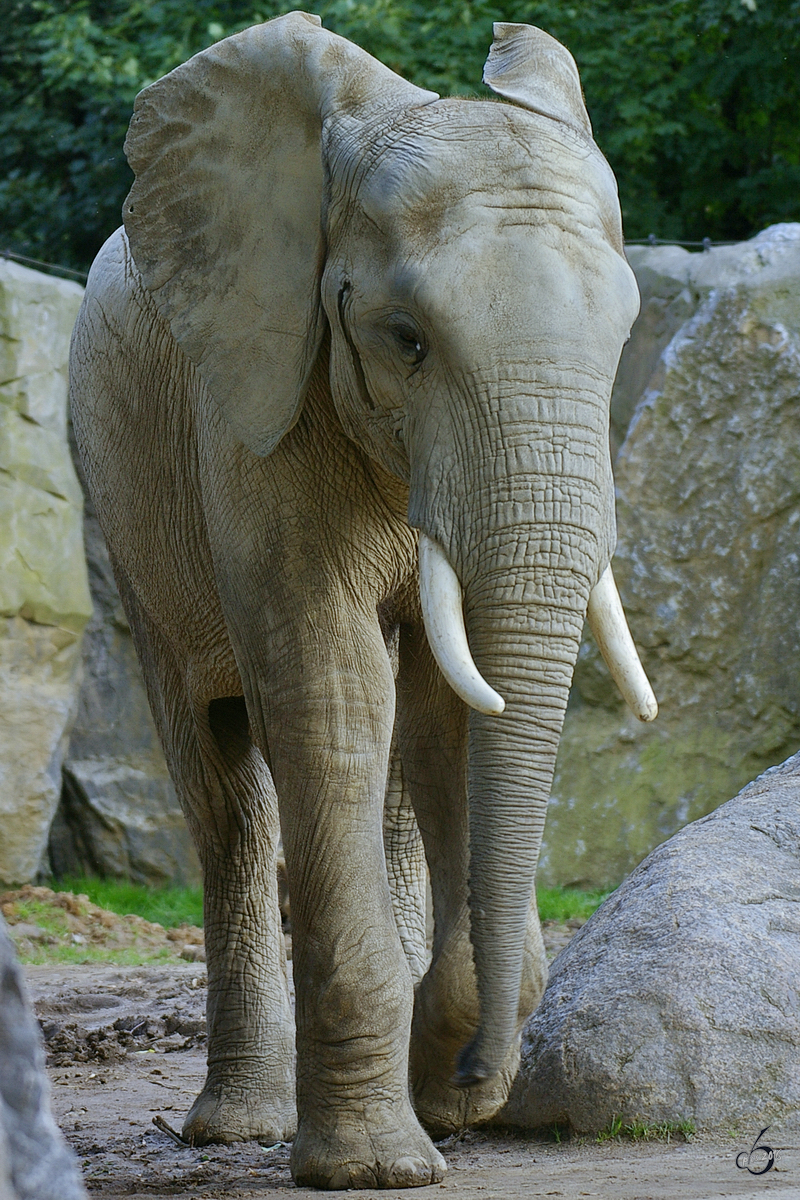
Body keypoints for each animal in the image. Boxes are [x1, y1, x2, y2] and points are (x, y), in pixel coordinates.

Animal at [68, 11, 657, 1190]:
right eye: (406, 339)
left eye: (621, 340)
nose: (480, 1083)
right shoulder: (259, 400)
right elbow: (328, 695)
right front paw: (377, 1167)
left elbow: (452, 715)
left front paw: (443, 1091)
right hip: (125, 504)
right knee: (224, 785)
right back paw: (239, 1128)